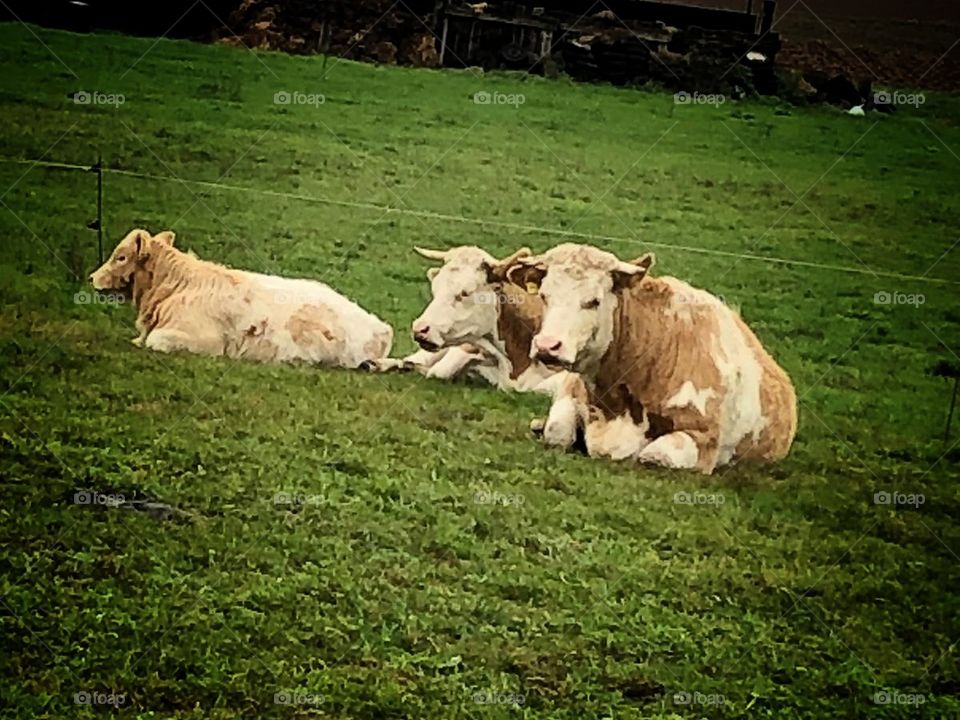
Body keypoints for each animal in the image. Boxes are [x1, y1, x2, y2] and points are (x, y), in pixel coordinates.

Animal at [508, 243, 798, 473]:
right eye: (544, 295)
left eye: (593, 301)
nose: (547, 346)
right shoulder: (572, 394)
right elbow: (556, 431)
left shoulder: (704, 440)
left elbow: (652, 454)